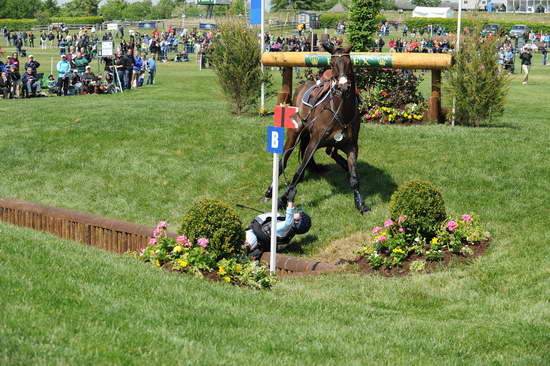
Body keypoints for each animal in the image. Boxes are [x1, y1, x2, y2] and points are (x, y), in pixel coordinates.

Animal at [264, 43, 370, 214]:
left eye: (349, 63)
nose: (343, 88)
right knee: (283, 162)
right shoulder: (314, 143)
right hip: (294, 133)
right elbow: (298, 172)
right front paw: (282, 199)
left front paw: (360, 203)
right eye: (332, 64)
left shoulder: (352, 146)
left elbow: (354, 177)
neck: (340, 112)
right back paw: (269, 192)